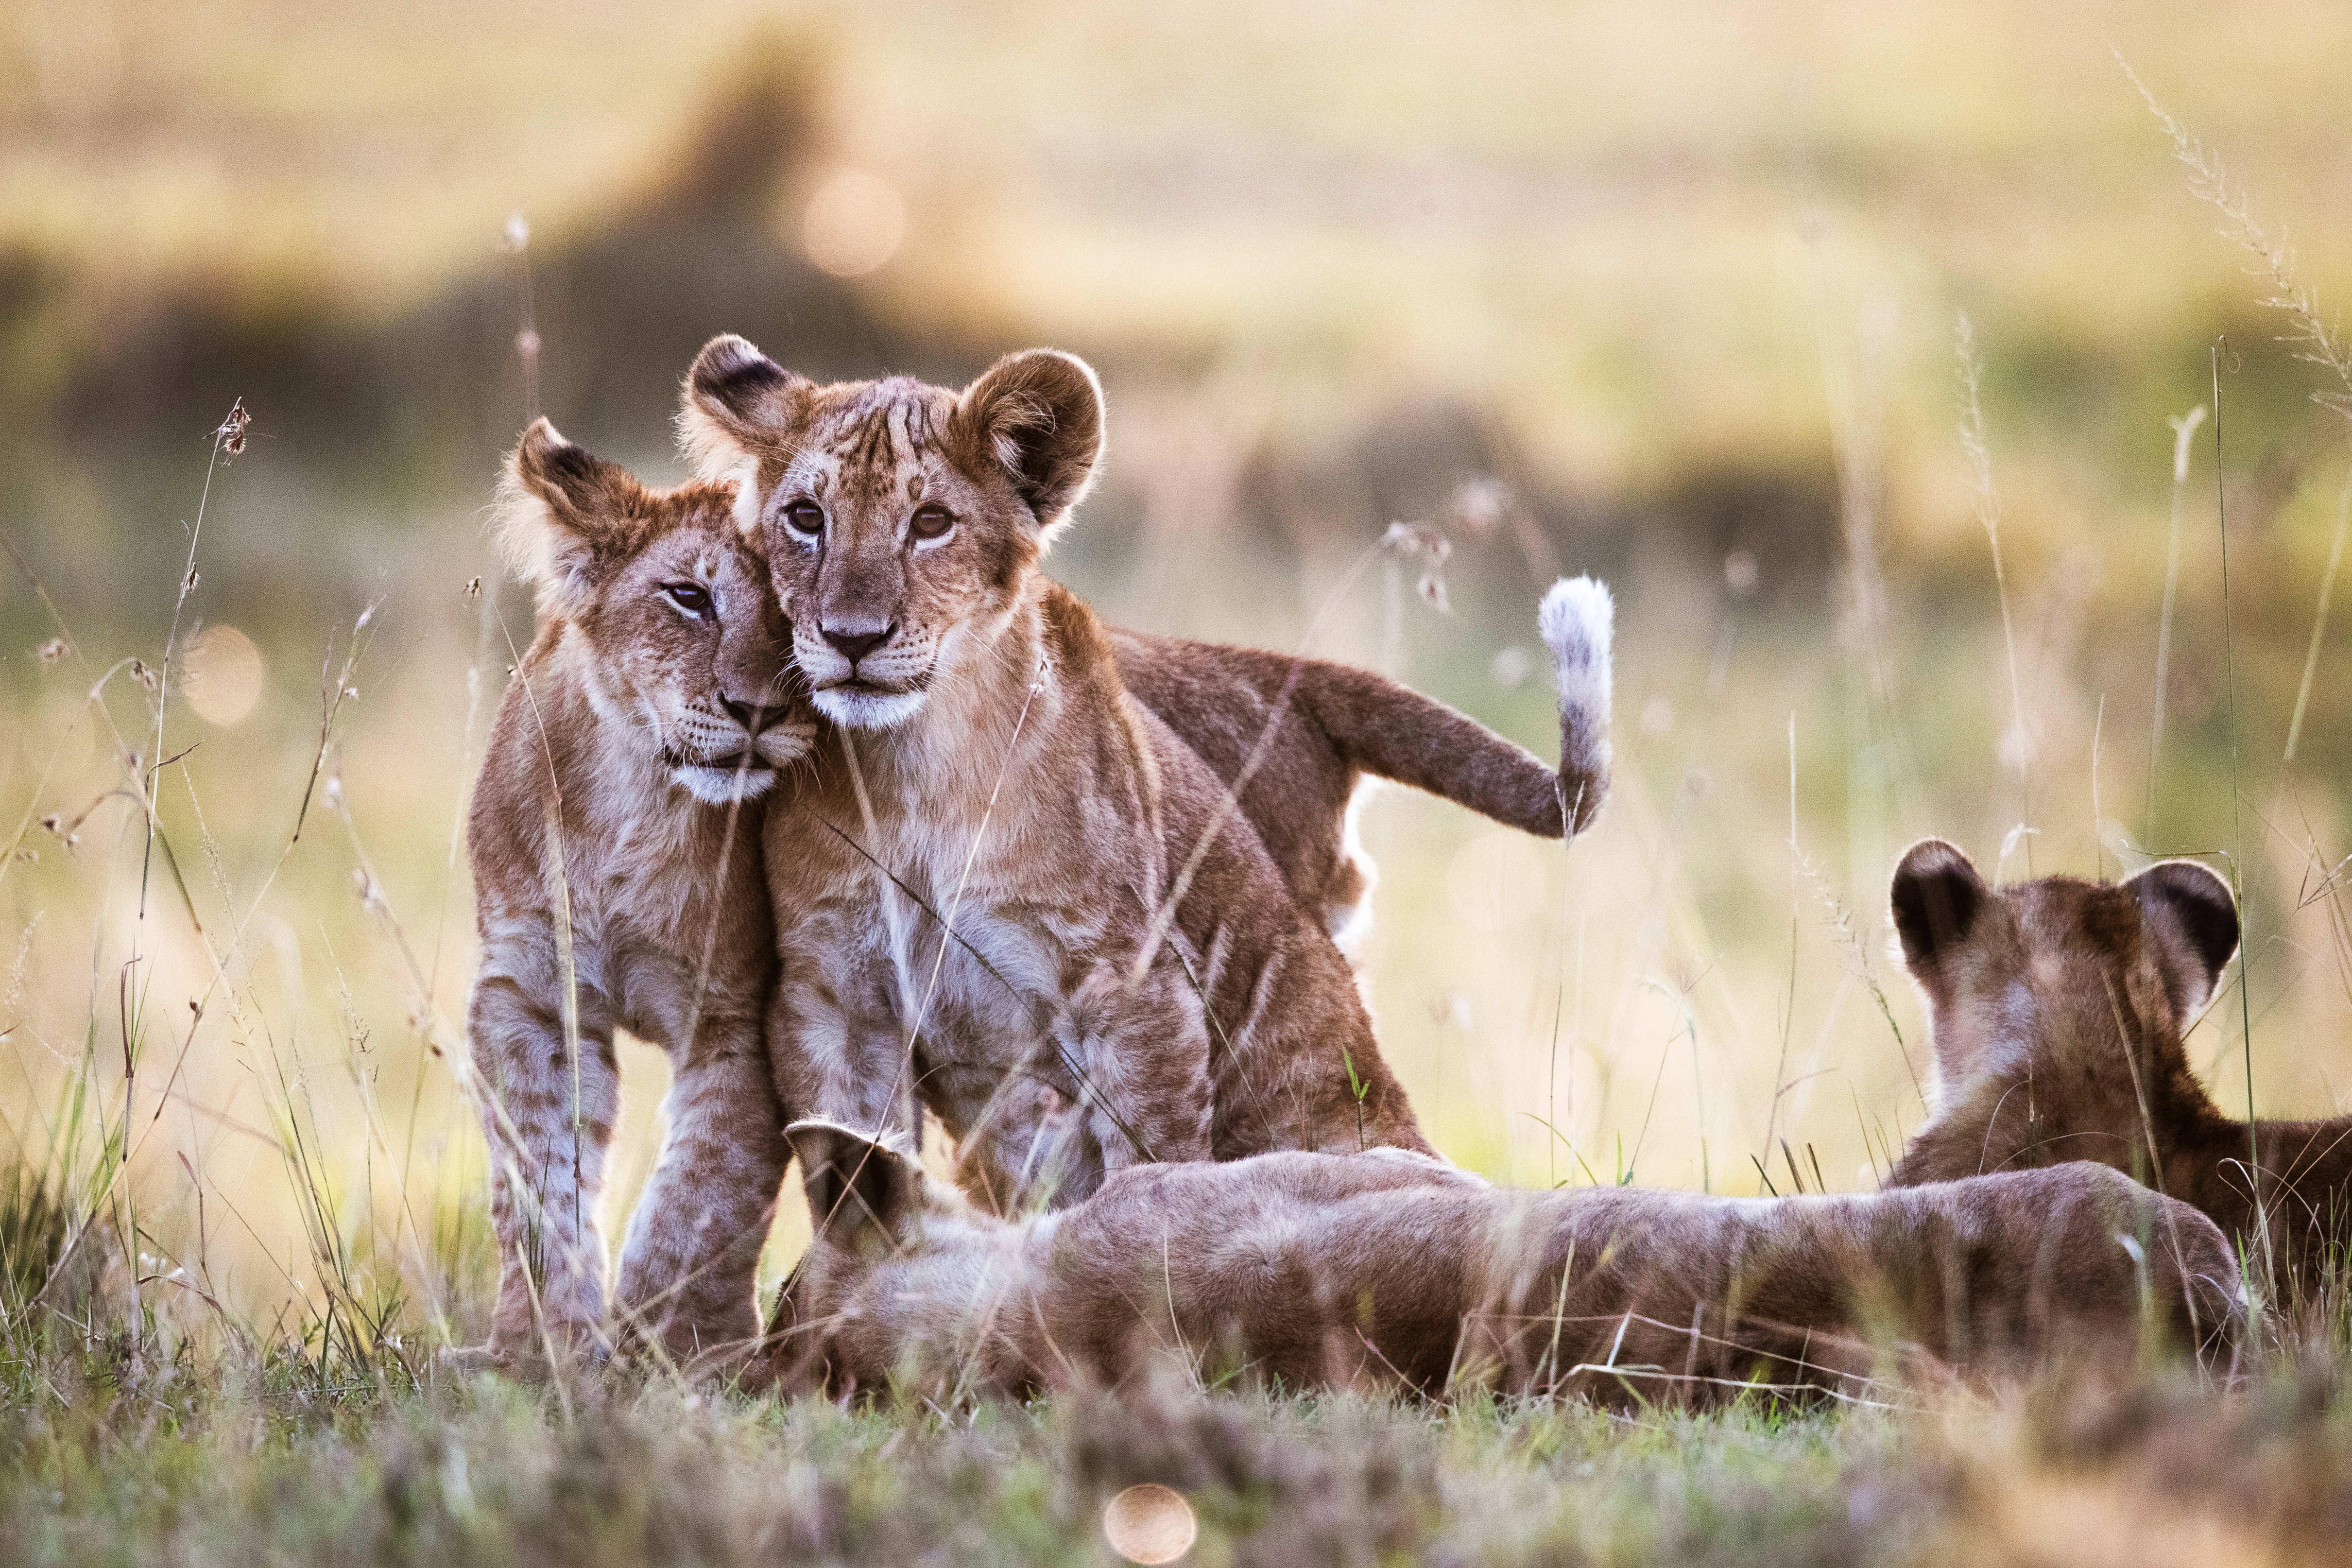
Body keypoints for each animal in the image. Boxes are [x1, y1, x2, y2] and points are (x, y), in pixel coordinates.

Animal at [459, 419, 815, 1372]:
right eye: (688, 597)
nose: (756, 711)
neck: (639, 805)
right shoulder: (530, 997)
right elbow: (537, 1184)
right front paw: (544, 1347)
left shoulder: (740, 1015)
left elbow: (705, 1194)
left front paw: (676, 1350)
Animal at [675, 336, 1613, 1213]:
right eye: (806, 517)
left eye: (931, 522)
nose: (852, 638)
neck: (912, 773)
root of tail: (1287, 671)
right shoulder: (835, 1000)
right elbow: (853, 1167)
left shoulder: (1132, 987)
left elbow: (1151, 1165)